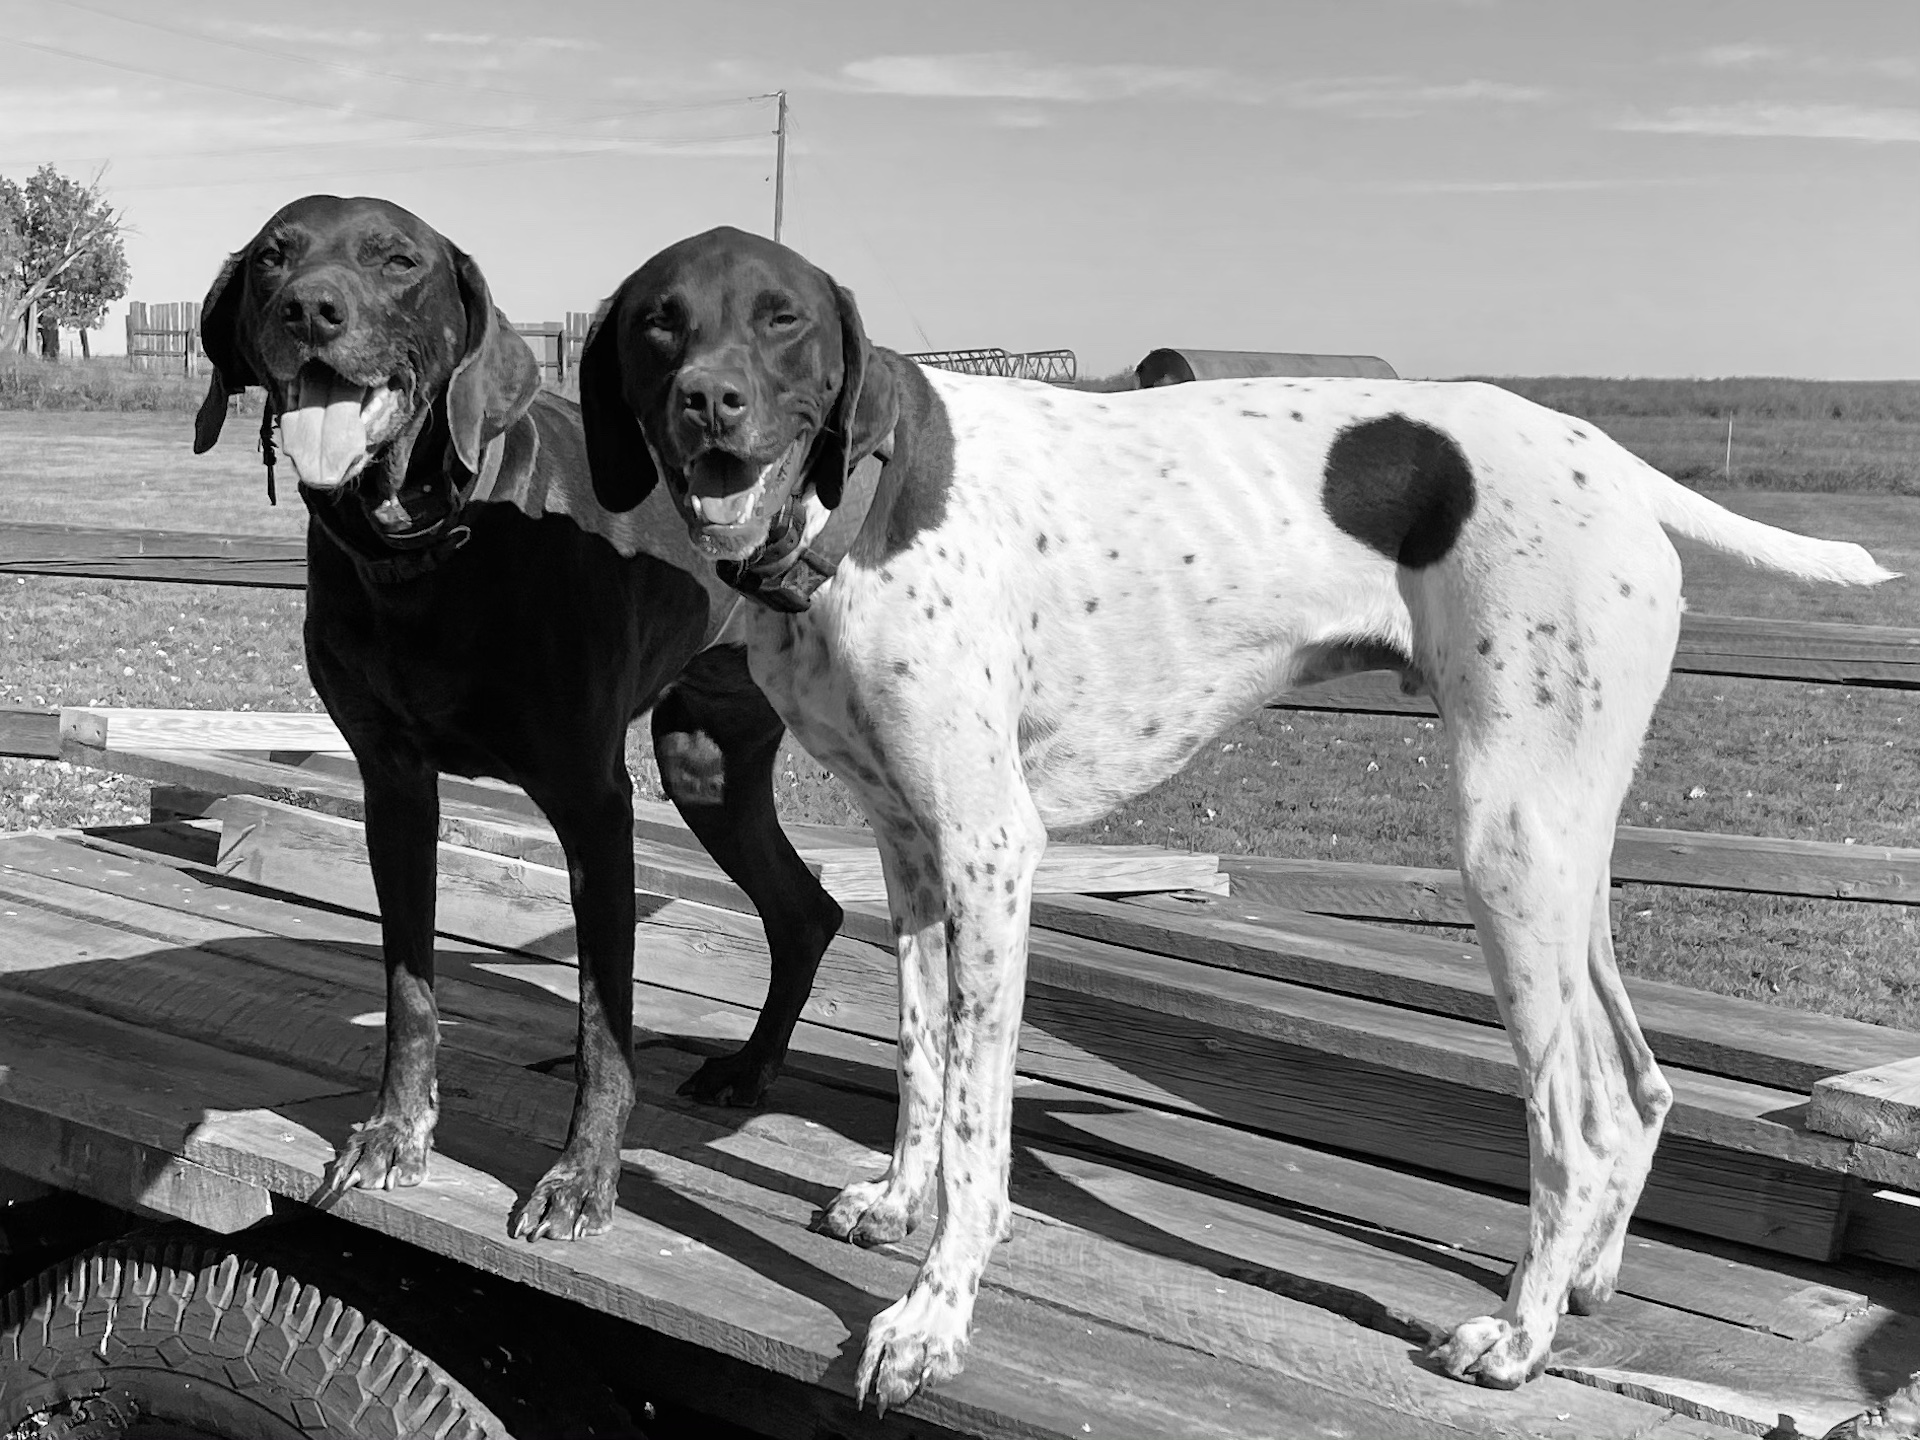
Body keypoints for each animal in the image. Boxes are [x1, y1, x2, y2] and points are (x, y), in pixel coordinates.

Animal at [193, 197, 844, 1240]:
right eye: (270, 259)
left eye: (399, 260)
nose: (310, 310)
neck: (428, 549)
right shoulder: (394, 786)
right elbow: (410, 989)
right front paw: (394, 1132)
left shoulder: (592, 803)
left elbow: (602, 1030)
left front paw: (582, 1178)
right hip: (703, 762)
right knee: (805, 910)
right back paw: (748, 1069)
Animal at [578, 225, 1896, 1409]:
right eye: (659, 322)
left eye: (782, 318)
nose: (709, 406)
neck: (864, 502)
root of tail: (1611, 460)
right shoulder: (911, 853)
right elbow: (920, 1063)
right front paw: (898, 1202)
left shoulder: (991, 856)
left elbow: (975, 1133)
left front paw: (930, 1320)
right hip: (1566, 853)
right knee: (1643, 1085)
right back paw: (1582, 1285)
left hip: (1507, 846)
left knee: (1582, 1114)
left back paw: (1518, 1338)